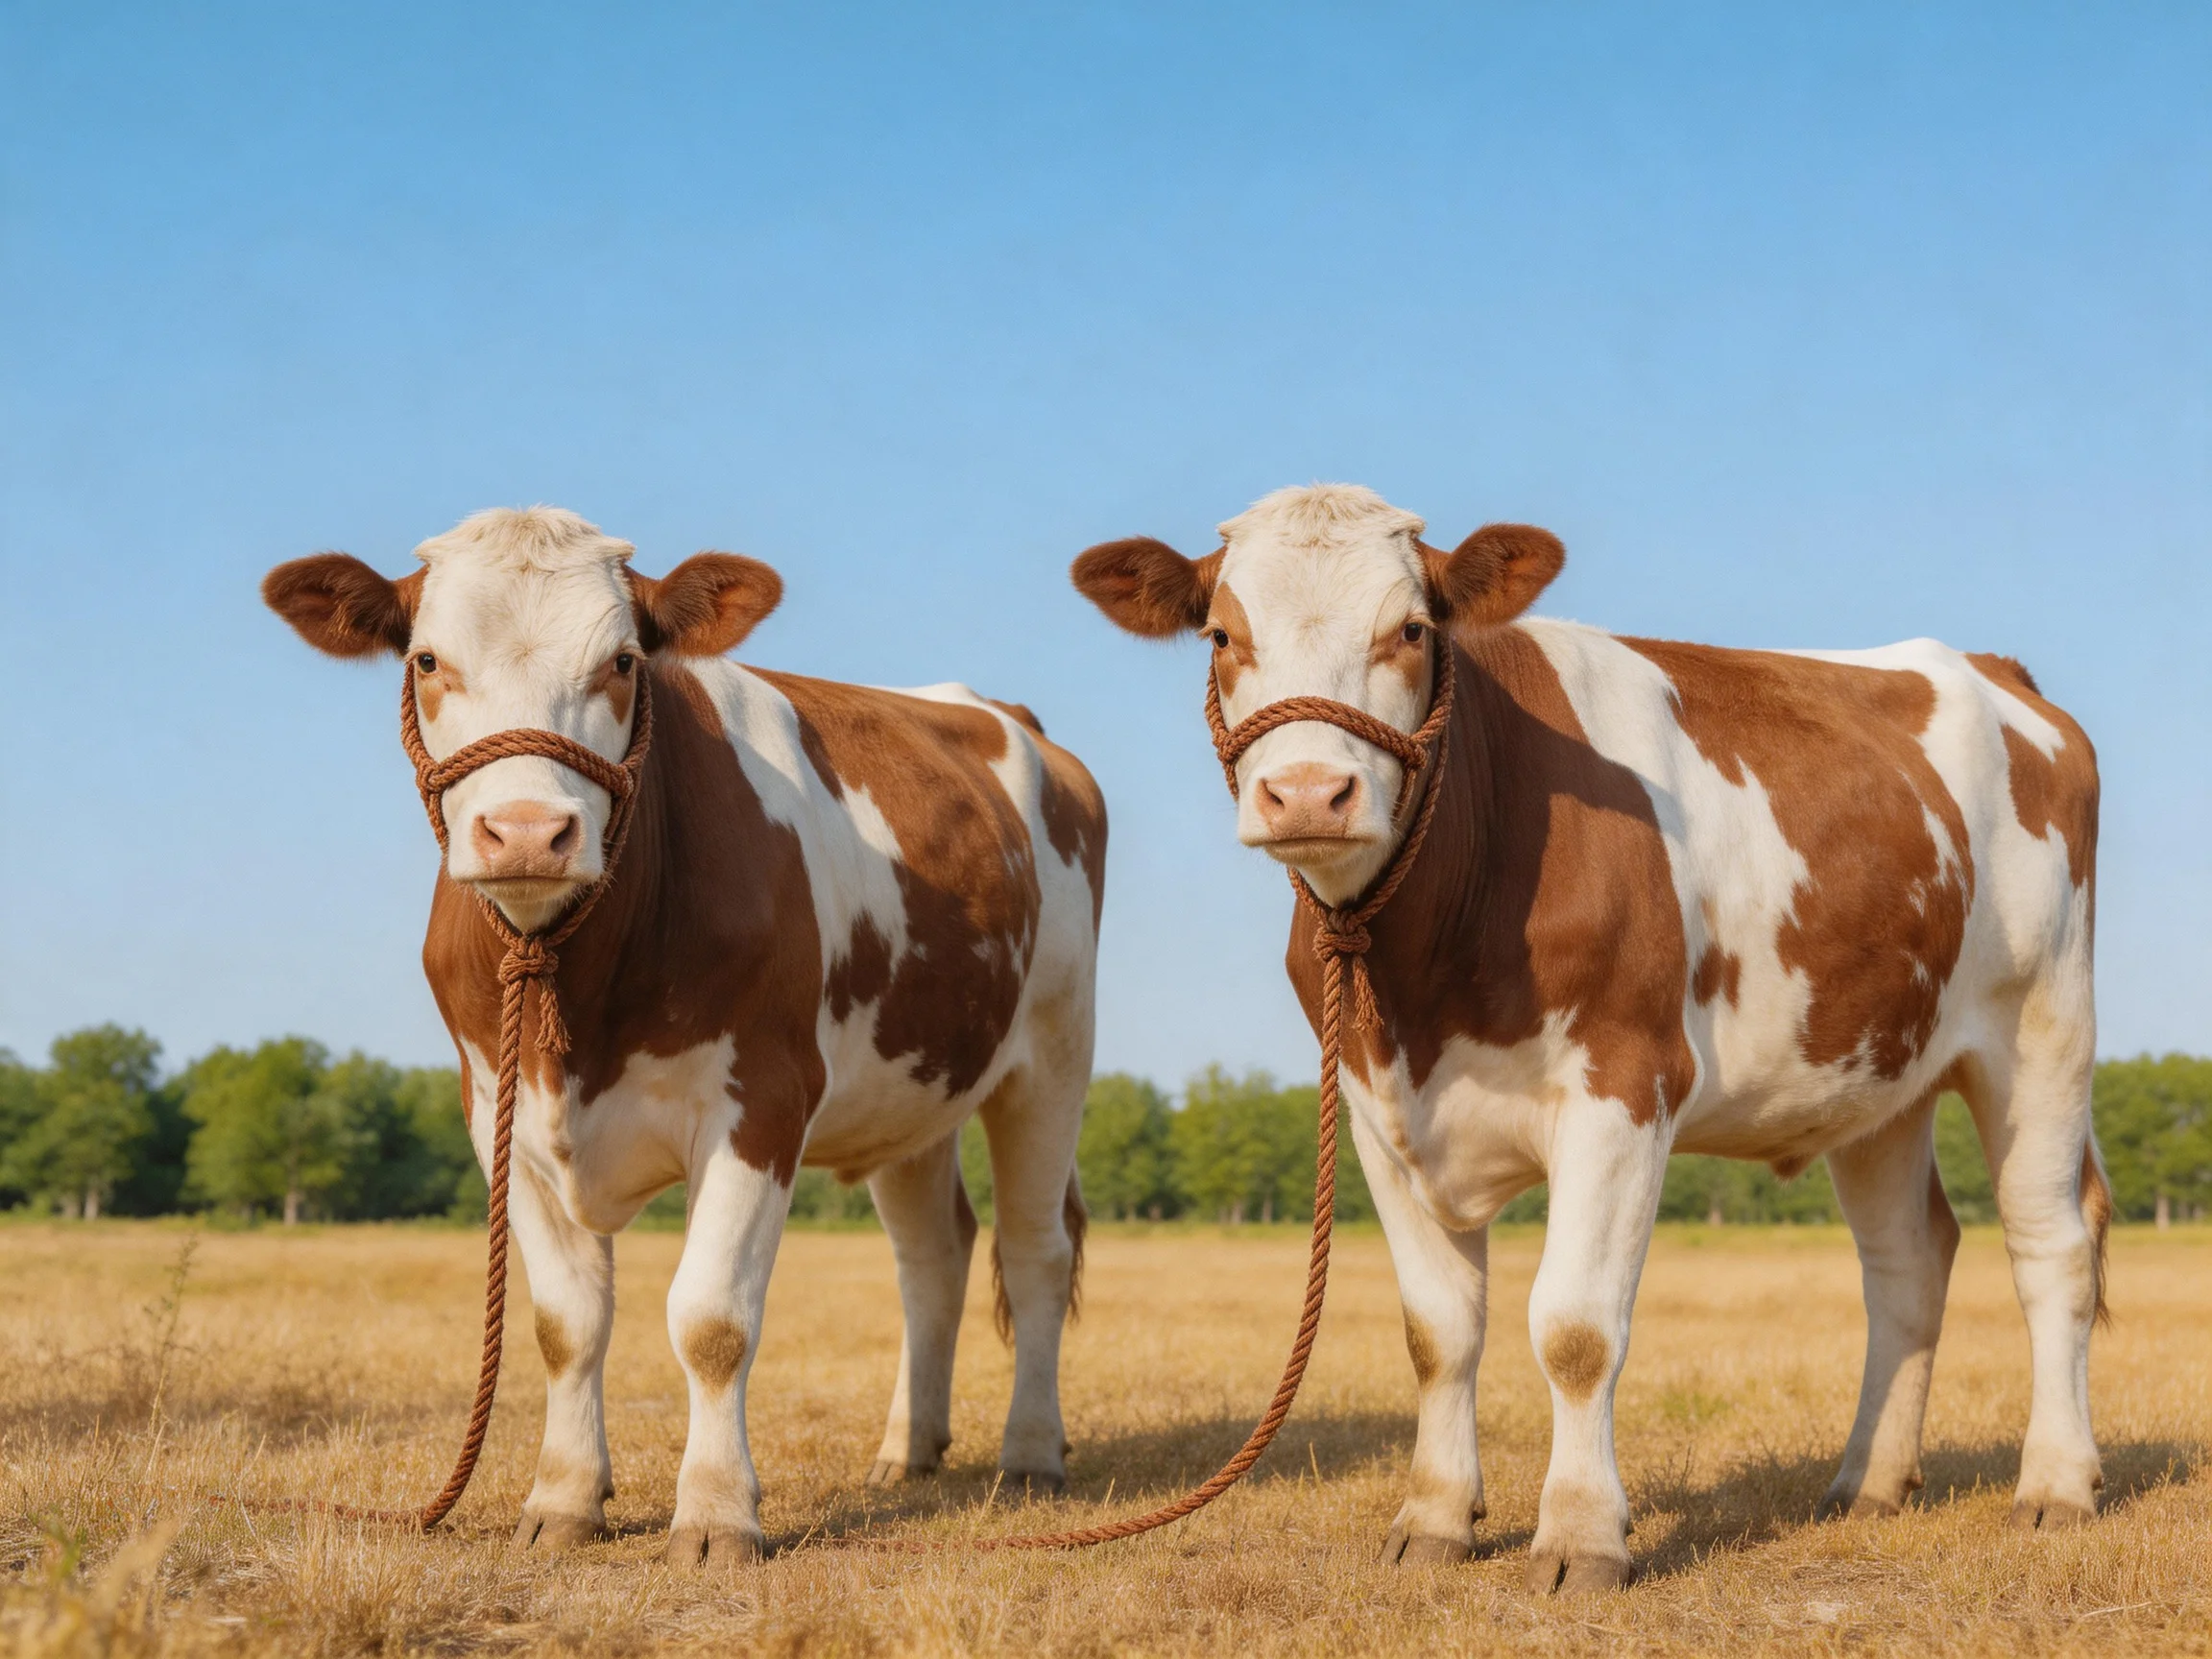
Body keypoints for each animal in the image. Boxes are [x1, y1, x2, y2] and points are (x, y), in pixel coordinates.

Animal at [264, 506, 1105, 1567]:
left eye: (623, 662)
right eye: (425, 660)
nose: (528, 832)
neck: (579, 999)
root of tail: (1001, 714)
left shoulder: (765, 1100)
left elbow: (712, 1321)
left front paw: (714, 1513)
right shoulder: (498, 1112)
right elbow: (567, 1324)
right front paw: (564, 1498)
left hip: (1054, 1052)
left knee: (1036, 1250)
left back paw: (1030, 1454)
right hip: (913, 1084)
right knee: (934, 1255)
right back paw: (907, 1449)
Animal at [1073, 483, 2105, 1593]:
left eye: (1411, 630)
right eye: (1223, 634)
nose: (1308, 792)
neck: (1423, 977)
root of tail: (1999, 673)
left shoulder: (1625, 1083)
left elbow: (1573, 1329)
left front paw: (1578, 1535)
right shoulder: (1373, 1107)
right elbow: (1438, 1332)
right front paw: (1434, 1518)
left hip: (2043, 1026)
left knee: (2050, 1244)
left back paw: (2056, 1483)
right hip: (1877, 1071)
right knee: (1908, 1259)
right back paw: (1868, 1480)